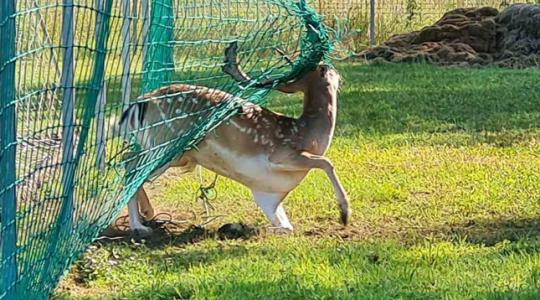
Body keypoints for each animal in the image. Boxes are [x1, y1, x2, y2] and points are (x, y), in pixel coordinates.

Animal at [121, 41, 350, 234]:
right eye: (323, 68)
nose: (337, 72)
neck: (307, 134)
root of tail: (139, 103)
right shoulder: (281, 154)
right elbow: (327, 162)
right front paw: (344, 214)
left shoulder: (268, 195)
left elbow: (286, 227)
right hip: (164, 144)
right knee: (131, 167)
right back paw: (138, 226)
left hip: (176, 155)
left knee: (128, 162)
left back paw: (147, 214)